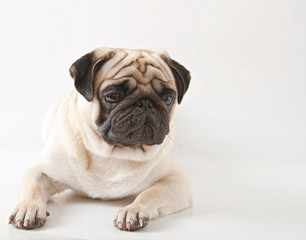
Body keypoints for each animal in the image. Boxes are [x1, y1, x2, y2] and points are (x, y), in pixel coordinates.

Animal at [8, 47, 192, 231]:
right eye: (113, 96)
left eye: (168, 99)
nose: (145, 103)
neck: (115, 153)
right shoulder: (39, 172)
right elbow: (33, 189)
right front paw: (29, 208)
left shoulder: (176, 181)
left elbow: (150, 193)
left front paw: (134, 209)